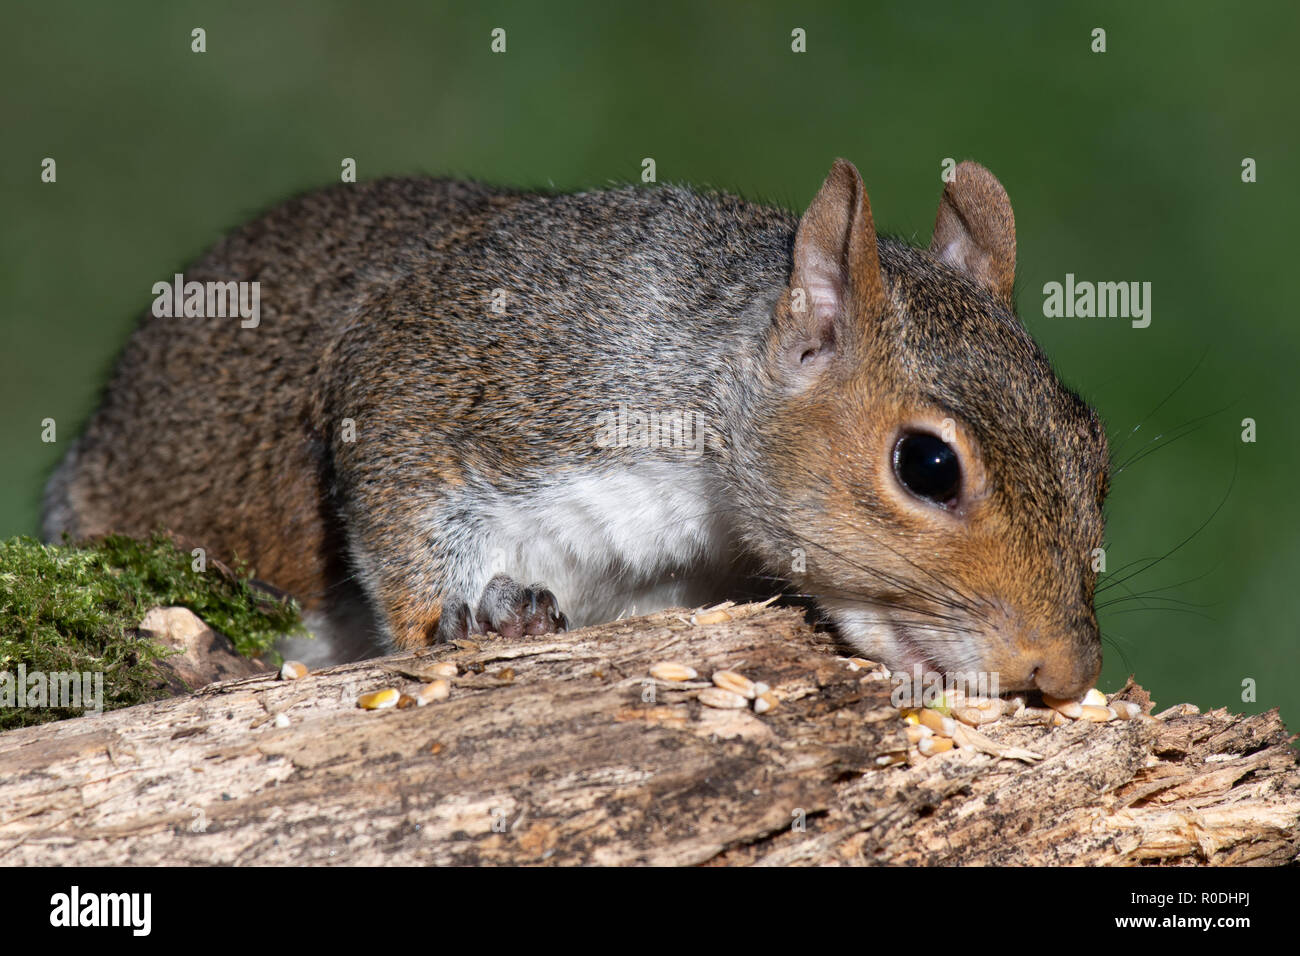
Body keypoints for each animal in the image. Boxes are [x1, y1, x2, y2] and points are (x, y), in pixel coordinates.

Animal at [42, 159, 1109, 699]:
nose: (1063, 673)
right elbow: (399, 502)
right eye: (926, 464)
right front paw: (476, 614)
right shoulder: (456, 378)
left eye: (1093, 446)